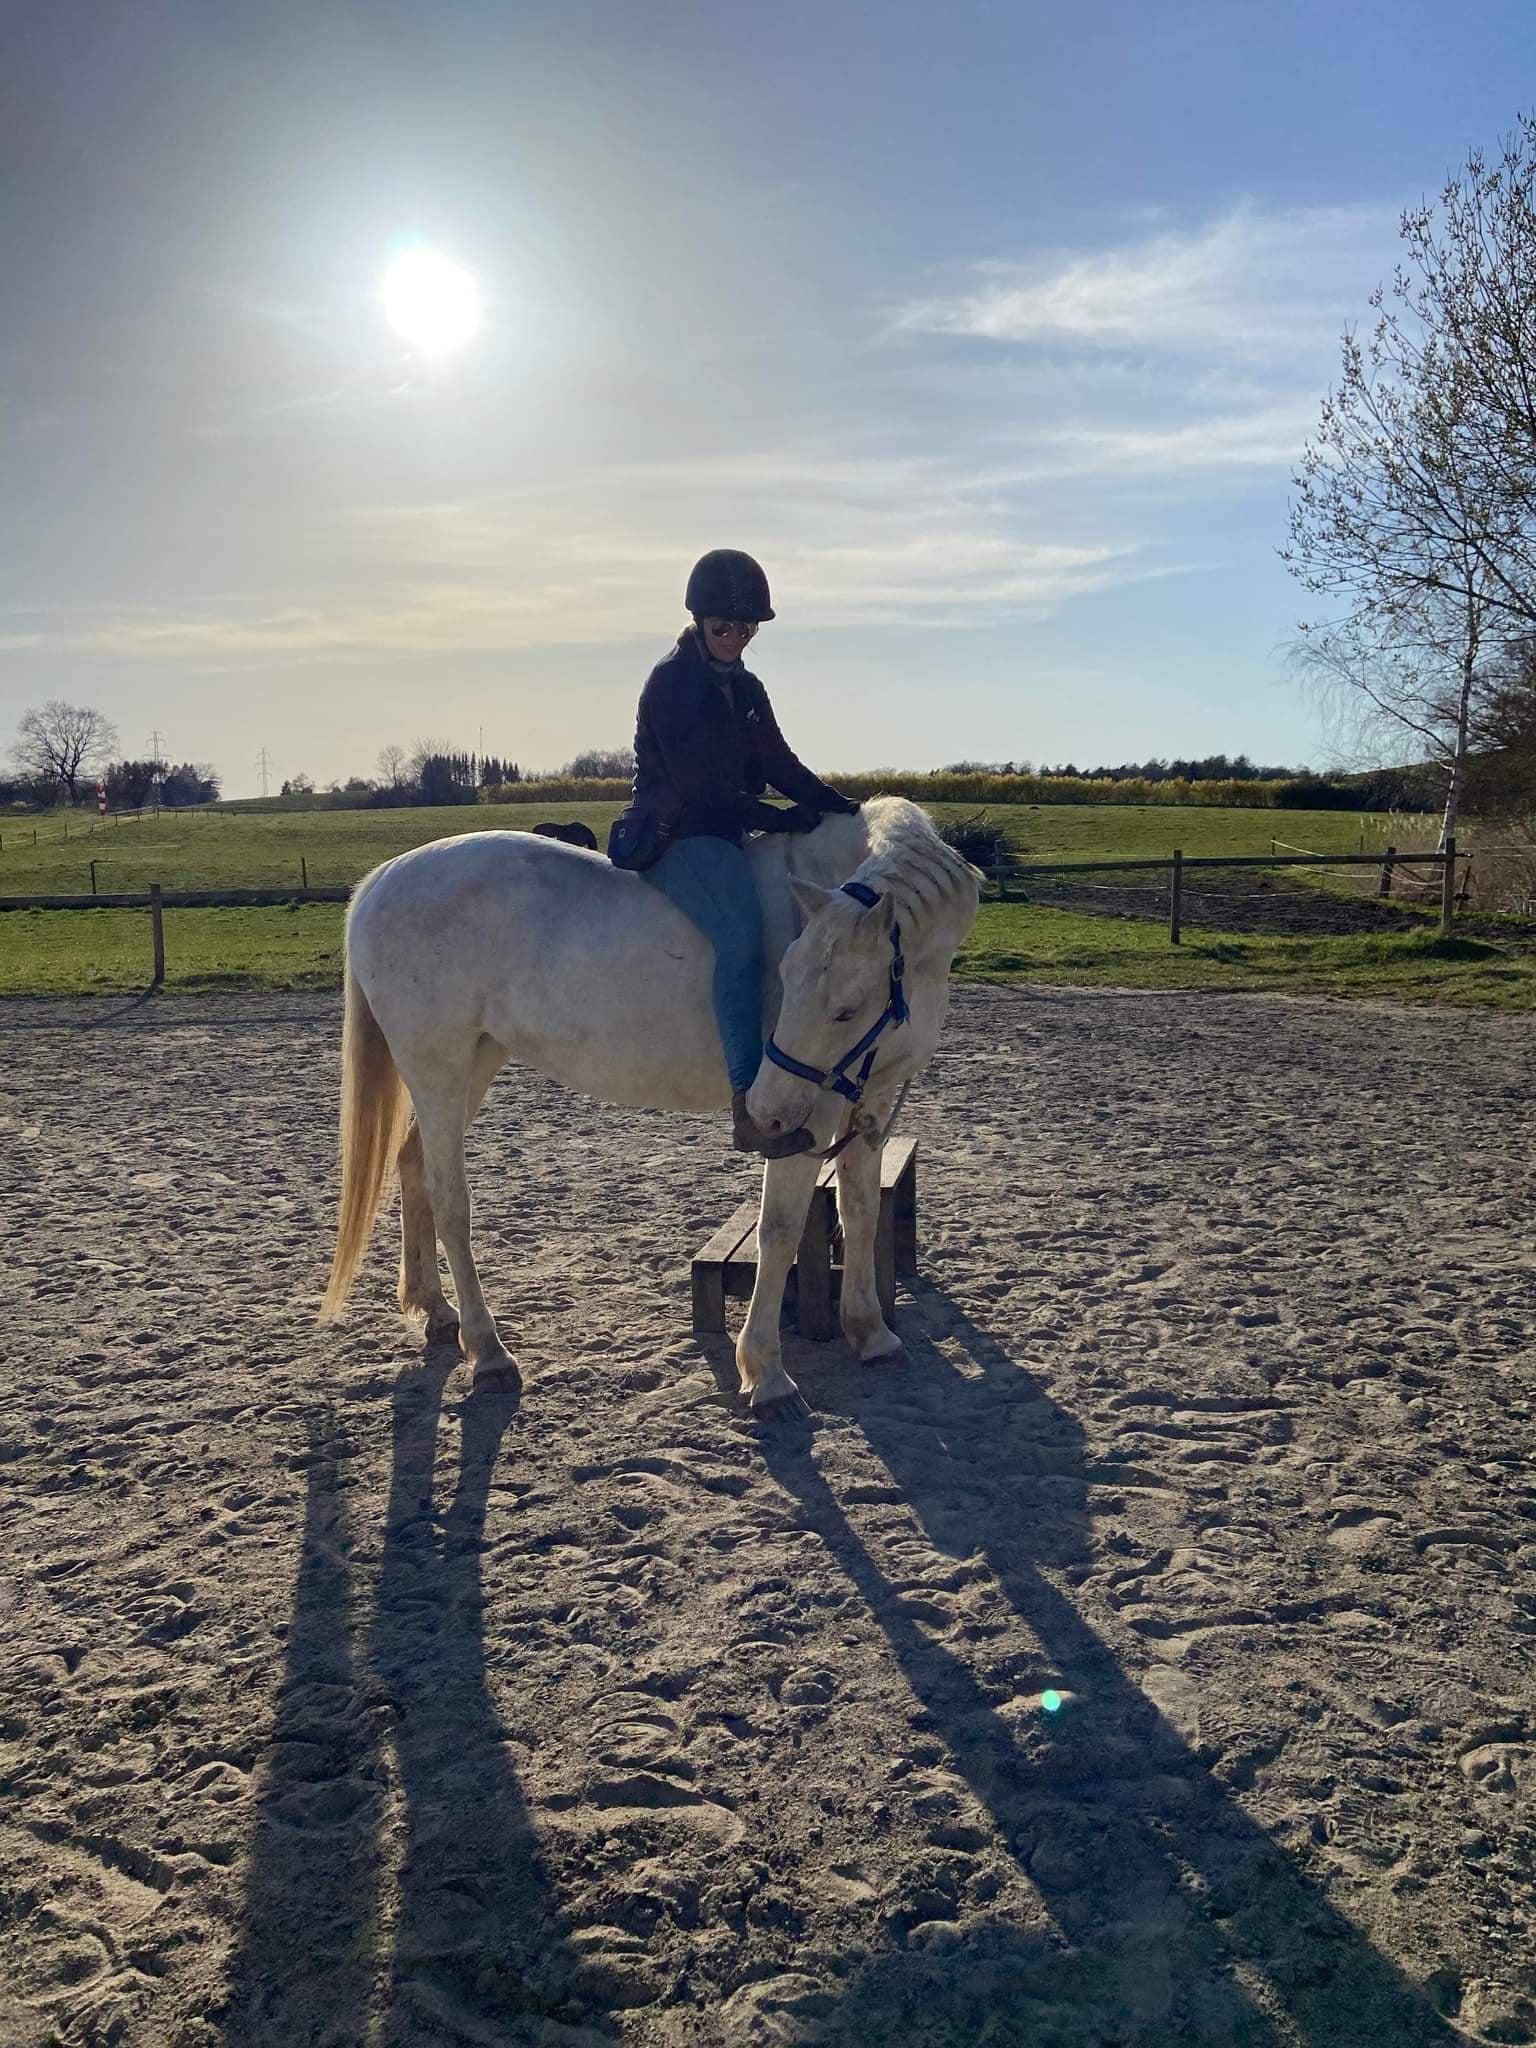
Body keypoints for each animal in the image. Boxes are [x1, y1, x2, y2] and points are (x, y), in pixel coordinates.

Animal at [319, 794, 978, 1409]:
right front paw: (767, 1373)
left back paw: (435, 1311)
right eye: (787, 979)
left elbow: (860, 1210)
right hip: (440, 1069)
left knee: (412, 1167)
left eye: (845, 1009)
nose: (763, 1109)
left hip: (474, 1062)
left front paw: (870, 1333)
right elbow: (781, 1230)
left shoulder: (869, 1095)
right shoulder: (807, 1118)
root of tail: (384, 879)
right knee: (451, 1202)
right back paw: (488, 1352)